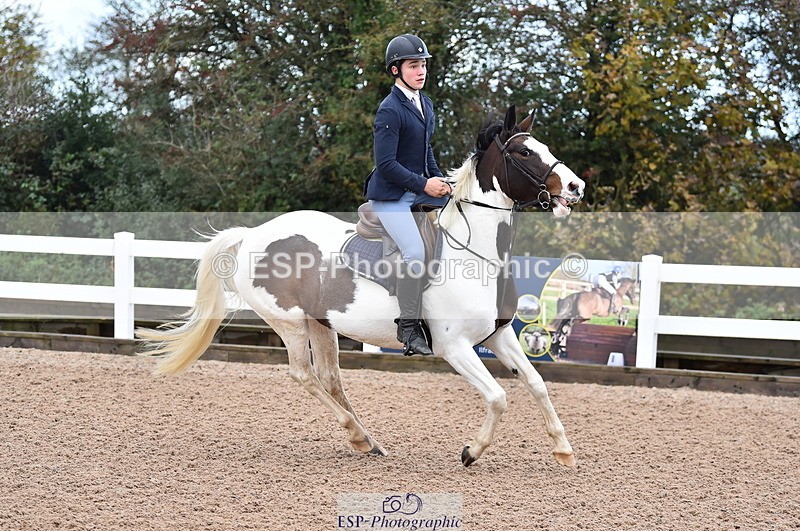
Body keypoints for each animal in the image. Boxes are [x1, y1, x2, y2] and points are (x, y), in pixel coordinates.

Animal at [137, 105, 585, 468]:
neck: (475, 254)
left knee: (330, 377)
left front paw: (564, 450)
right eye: (524, 153)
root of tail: (252, 234)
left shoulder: (498, 335)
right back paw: (356, 435)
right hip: (288, 323)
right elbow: (498, 397)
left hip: (321, 324)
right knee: (304, 375)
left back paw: (368, 441)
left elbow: (536, 384)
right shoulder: (454, 346)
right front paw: (471, 452)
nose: (576, 187)